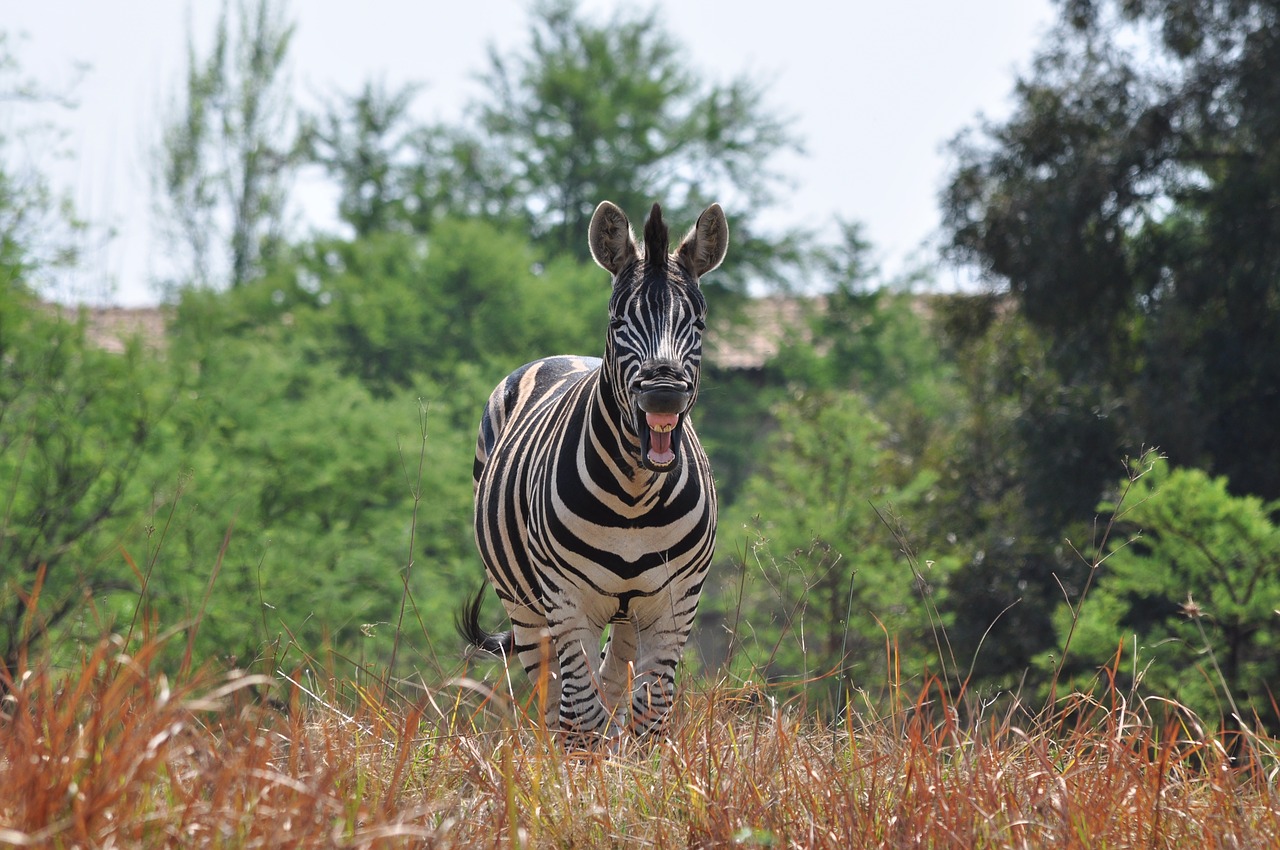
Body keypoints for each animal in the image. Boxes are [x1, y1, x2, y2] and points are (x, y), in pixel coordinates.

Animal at [460, 200, 727, 742]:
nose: (664, 393)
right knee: (552, 698)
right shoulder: (566, 602)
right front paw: (584, 764)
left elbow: (648, 714)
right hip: (523, 606)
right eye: (618, 319)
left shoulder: (676, 605)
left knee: (611, 681)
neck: (635, 495)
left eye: (698, 323)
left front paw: (638, 766)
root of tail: (562, 356)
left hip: (628, 614)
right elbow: (579, 718)